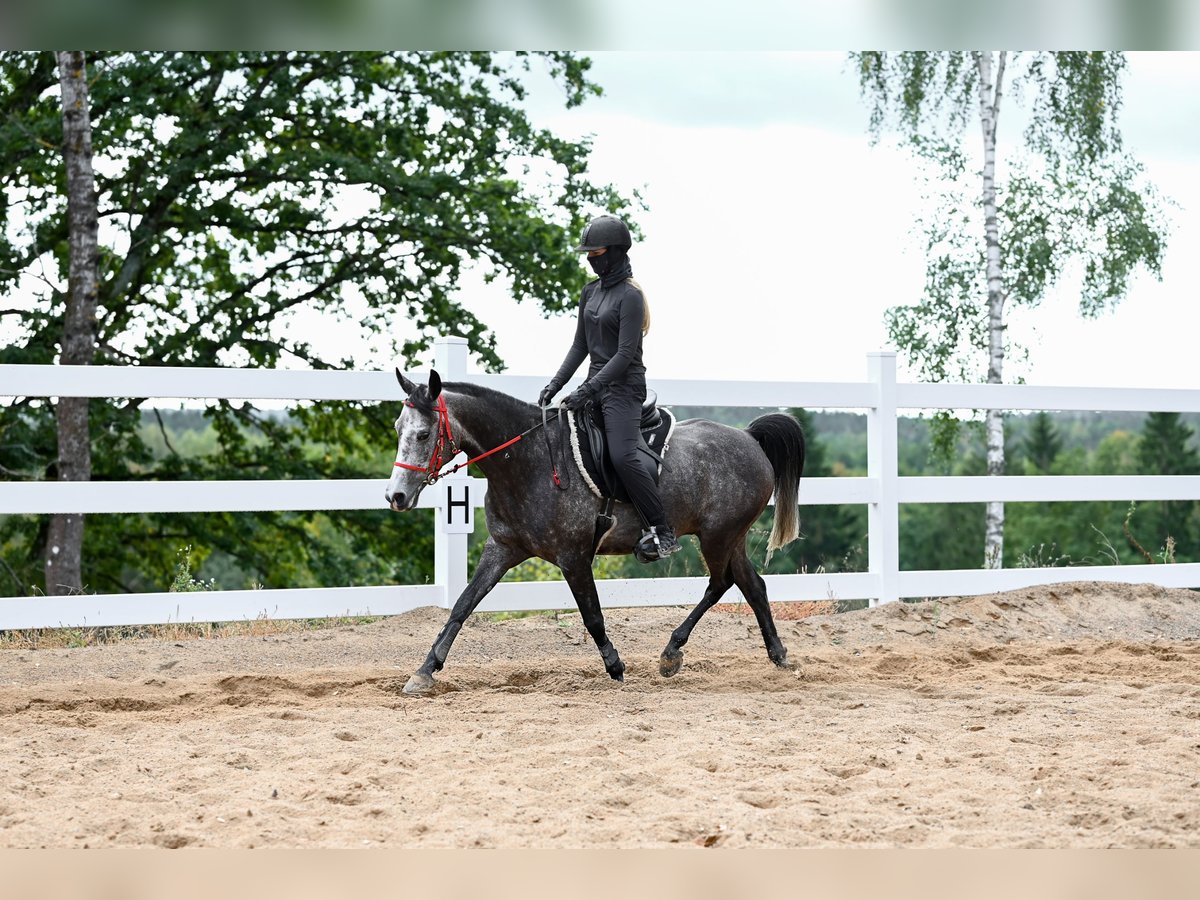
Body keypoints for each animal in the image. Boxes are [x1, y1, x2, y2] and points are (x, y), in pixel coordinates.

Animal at [384, 369, 806, 696]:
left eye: (423, 434)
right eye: (398, 428)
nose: (396, 496)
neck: (528, 461)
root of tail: (749, 438)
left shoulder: (573, 557)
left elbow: (592, 616)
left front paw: (615, 666)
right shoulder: (502, 548)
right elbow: (462, 605)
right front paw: (424, 671)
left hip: (718, 537)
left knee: (721, 583)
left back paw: (671, 653)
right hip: (730, 538)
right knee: (752, 585)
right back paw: (778, 655)